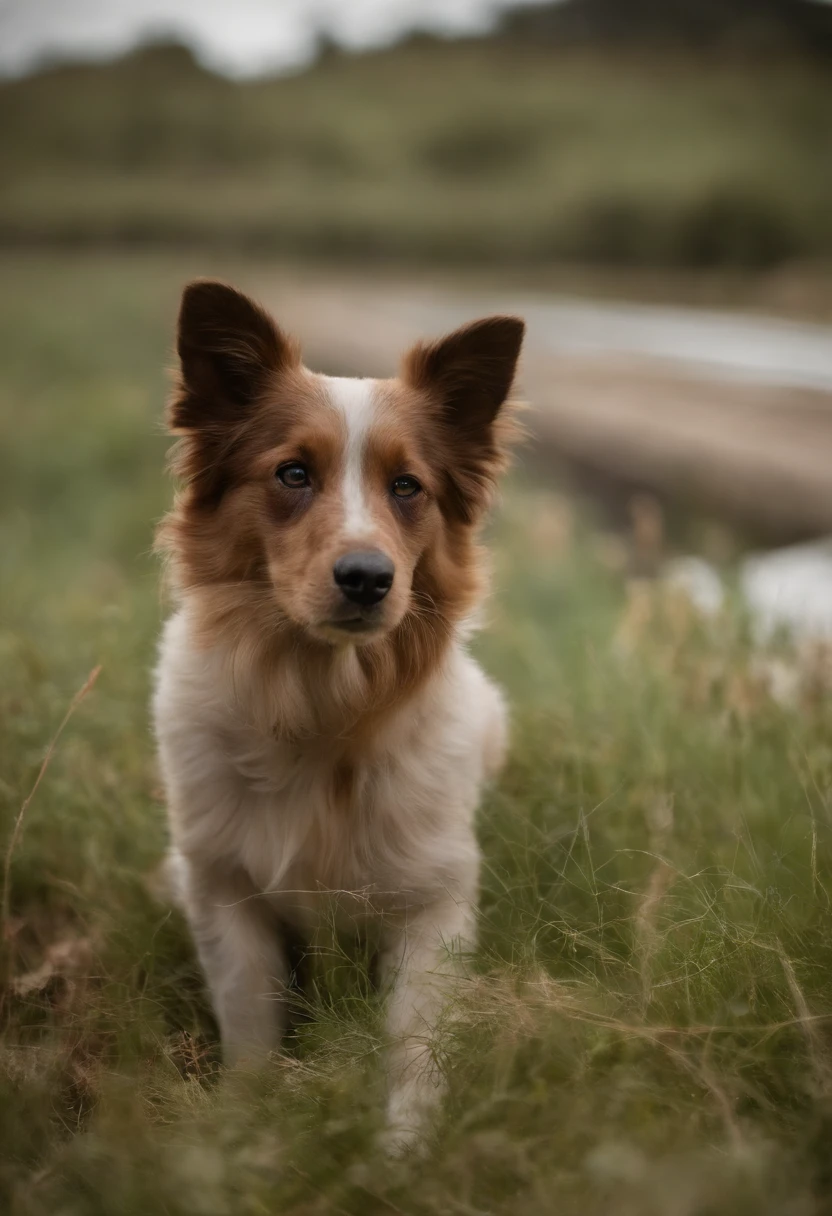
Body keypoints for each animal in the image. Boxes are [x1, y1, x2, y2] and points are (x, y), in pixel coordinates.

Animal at [152, 279, 523, 1152]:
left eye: (407, 487)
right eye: (292, 473)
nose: (366, 578)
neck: (322, 703)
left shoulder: (435, 904)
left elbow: (416, 1045)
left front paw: (403, 1155)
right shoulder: (224, 891)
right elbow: (252, 1033)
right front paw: (247, 1141)